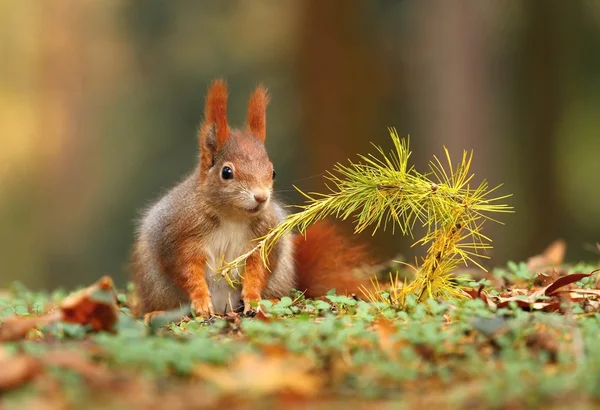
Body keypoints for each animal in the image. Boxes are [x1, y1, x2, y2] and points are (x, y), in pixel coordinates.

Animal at [132, 80, 370, 318]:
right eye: (226, 172)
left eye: (273, 172)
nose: (261, 197)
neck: (232, 217)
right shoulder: (176, 237)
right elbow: (187, 272)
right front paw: (200, 301)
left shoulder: (263, 240)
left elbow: (257, 271)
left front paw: (254, 299)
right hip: (157, 286)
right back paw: (157, 313)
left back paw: (271, 301)